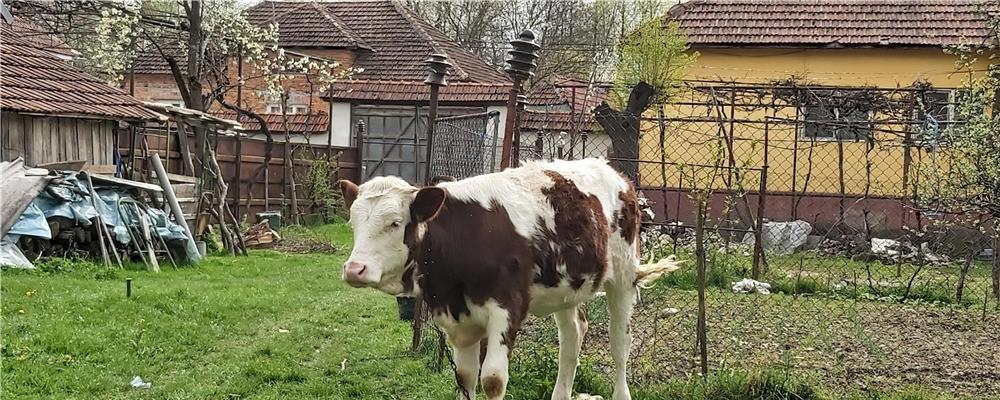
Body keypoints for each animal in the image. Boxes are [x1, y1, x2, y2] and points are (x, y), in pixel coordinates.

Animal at [337, 158, 679, 400]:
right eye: (353, 222)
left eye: (395, 223)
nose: (354, 269)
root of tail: (616, 173)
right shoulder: (459, 320)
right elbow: (465, 378)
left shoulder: (506, 308)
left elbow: (492, 380)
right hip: (567, 286)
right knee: (572, 336)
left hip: (622, 276)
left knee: (620, 343)